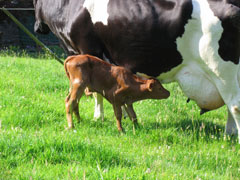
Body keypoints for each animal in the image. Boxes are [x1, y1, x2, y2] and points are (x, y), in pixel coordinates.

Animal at [33, 0, 240, 141]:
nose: (37, 27)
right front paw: (123, 114)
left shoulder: (88, 49)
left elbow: (95, 91)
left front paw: (98, 117)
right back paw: (228, 135)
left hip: (223, 70)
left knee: (234, 105)